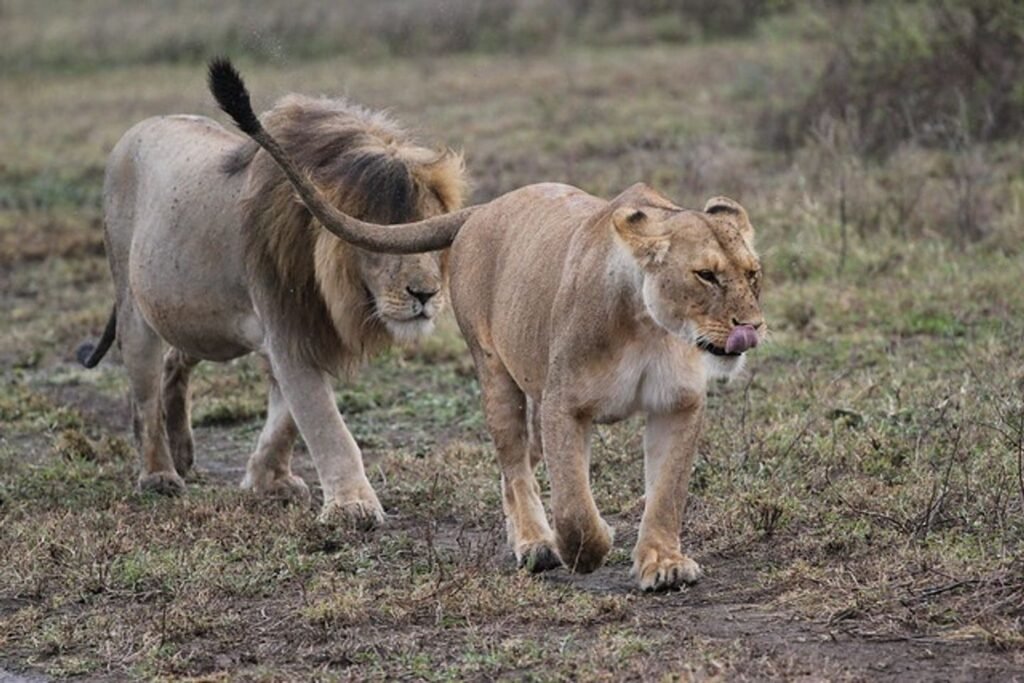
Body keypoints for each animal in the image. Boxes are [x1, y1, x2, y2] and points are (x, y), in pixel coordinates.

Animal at [77, 59, 467, 527]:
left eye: (433, 238)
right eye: (379, 243)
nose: (426, 294)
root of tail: (139, 128)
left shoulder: (304, 331)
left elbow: (286, 420)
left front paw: (269, 481)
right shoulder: (287, 329)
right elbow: (324, 423)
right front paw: (352, 506)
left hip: (195, 318)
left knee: (176, 360)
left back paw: (184, 452)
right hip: (135, 309)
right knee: (144, 399)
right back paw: (160, 474)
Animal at [211, 61, 765, 591]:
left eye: (753, 273)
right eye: (706, 275)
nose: (753, 326)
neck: (652, 330)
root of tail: (485, 208)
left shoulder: (678, 405)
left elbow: (667, 493)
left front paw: (663, 564)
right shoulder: (565, 405)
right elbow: (575, 506)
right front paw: (587, 548)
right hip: (495, 371)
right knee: (513, 464)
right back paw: (535, 545)